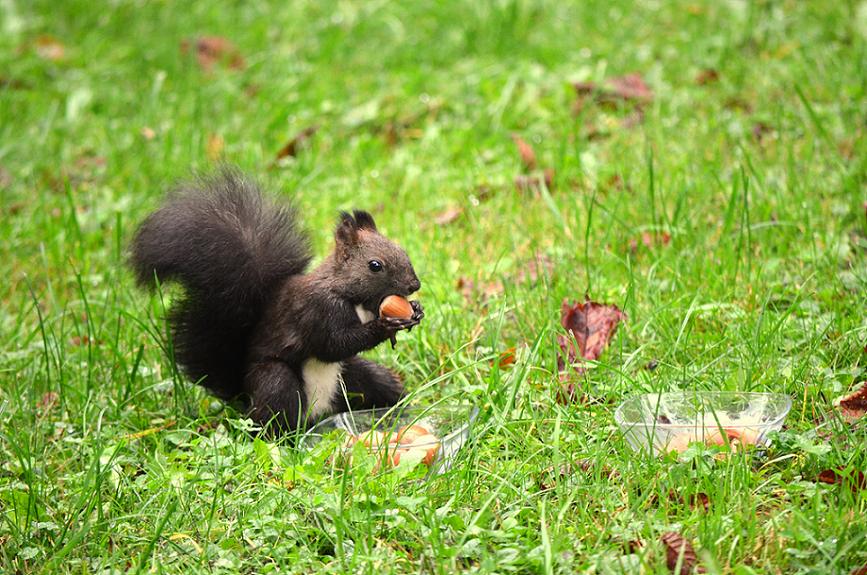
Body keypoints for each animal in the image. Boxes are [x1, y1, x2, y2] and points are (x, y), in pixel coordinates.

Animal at [129, 166, 424, 432]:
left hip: (355, 377)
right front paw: (383, 326)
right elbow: (333, 344)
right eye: (375, 265)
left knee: (378, 385)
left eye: (402, 250)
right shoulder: (316, 310)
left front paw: (416, 310)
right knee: (275, 419)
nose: (415, 285)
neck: (350, 296)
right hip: (276, 382)